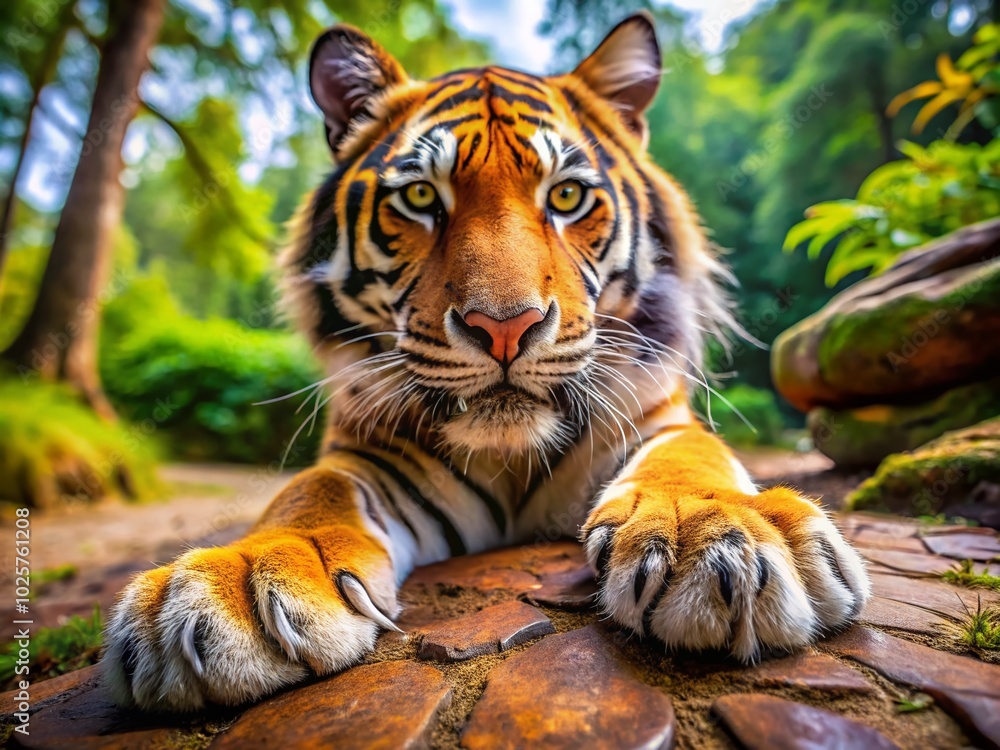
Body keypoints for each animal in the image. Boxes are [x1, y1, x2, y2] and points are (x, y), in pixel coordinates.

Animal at [103, 13, 870, 712]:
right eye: (420, 197)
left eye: (567, 195)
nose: (505, 327)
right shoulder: (368, 456)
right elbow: (308, 492)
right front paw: (234, 583)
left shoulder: (659, 419)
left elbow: (691, 461)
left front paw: (721, 536)